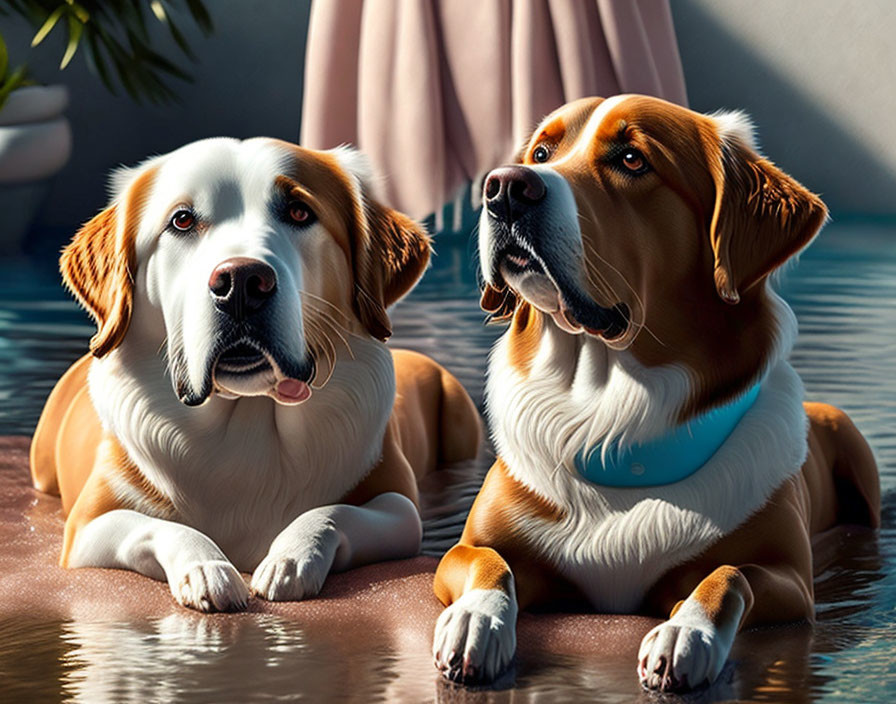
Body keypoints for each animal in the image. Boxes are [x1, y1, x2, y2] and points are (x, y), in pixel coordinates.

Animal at [29, 138, 484, 612]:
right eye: (182, 220)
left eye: (300, 212)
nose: (241, 281)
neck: (248, 416)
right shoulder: (87, 528)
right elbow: (159, 527)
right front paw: (206, 568)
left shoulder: (400, 510)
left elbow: (334, 513)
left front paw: (291, 558)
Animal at [430, 95, 880, 692]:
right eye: (542, 153)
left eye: (632, 159)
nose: (503, 187)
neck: (608, 420)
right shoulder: (468, 549)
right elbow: (489, 565)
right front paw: (475, 622)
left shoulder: (789, 580)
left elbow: (727, 575)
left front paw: (686, 634)